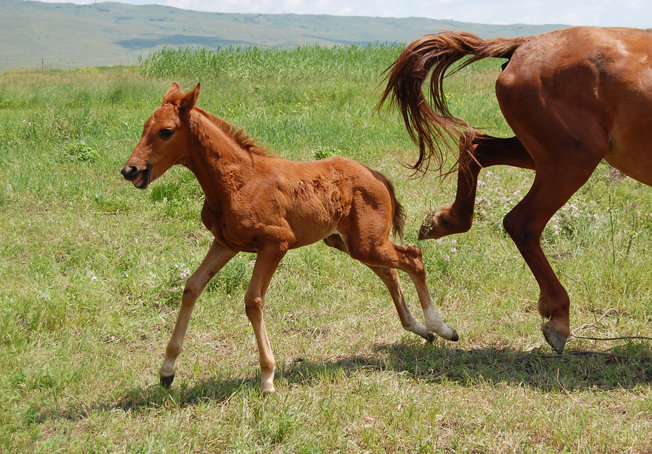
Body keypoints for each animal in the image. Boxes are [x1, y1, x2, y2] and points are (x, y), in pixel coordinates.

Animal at [122, 82, 458, 394]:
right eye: (144, 127)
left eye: (166, 131)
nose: (130, 170)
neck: (238, 180)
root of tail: (378, 175)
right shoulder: (227, 243)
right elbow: (192, 286)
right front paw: (167, 370)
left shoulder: (276, 243)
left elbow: (253, 301)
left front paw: (268, 377)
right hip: (351, 242)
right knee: (390, 271)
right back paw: (421, 329)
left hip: (366, 243)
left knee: (413, 257)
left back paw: (441, 328)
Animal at [380, 26, 648, 352]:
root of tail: (525, 44)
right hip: (571, 158)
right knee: (522, 223)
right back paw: (558, 319)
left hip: (545, 153)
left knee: (476, 146)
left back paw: (443, 221)